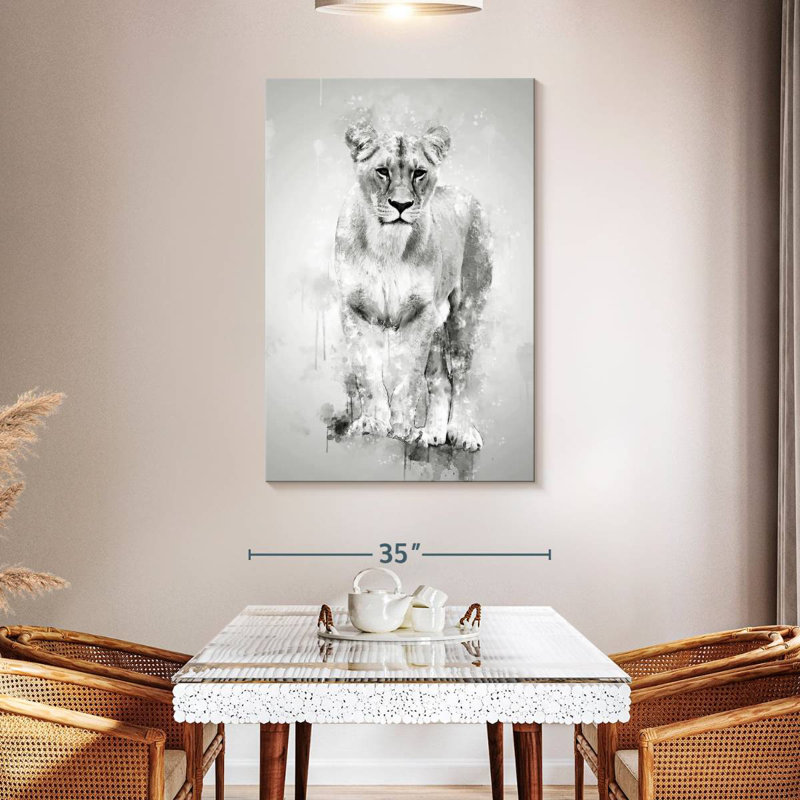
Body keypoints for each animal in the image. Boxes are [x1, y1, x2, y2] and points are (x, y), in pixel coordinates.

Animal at [333, 122, 493, 452]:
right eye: (382, 171)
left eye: (419, 173)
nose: (401, 205)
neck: (387, 245)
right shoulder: (354, 310)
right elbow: (368, 375)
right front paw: (373, 423)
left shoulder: (420, 313)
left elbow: (408, 379)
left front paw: (402, 429)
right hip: (437, 326)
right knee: (441, 381)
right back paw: (432, 433)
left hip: (465, 313)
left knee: (462, 376)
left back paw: (461, 433)